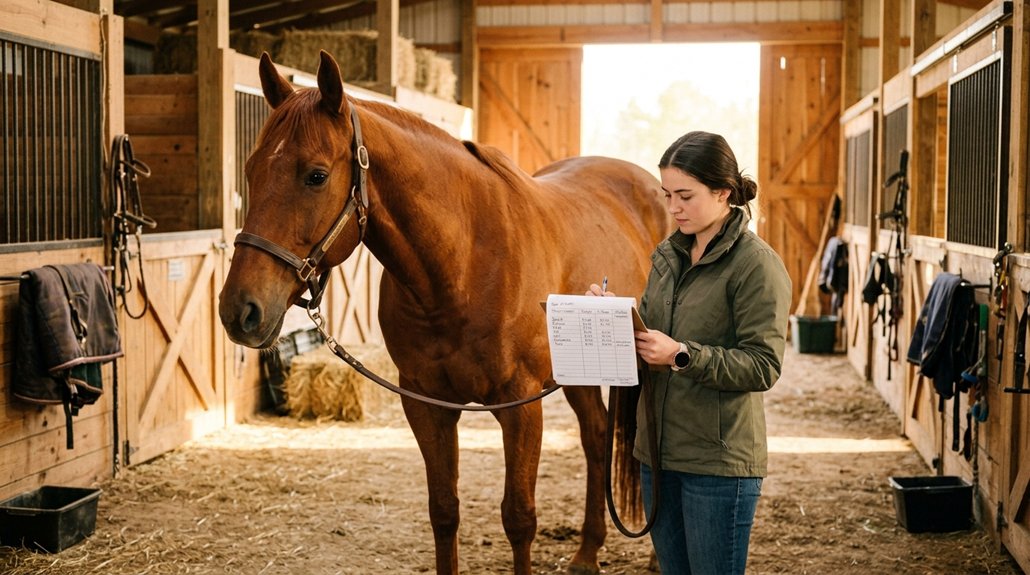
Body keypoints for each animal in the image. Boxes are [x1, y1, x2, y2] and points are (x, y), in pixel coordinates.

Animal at [218, 50, 671, 575]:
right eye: (251, 169)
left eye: (316, 175)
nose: (239, 309)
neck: (462, 266)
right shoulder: (425, 404)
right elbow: (444, 511)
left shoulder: (521, 407)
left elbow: (519, 517)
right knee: (597, 436)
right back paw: (586, 552)